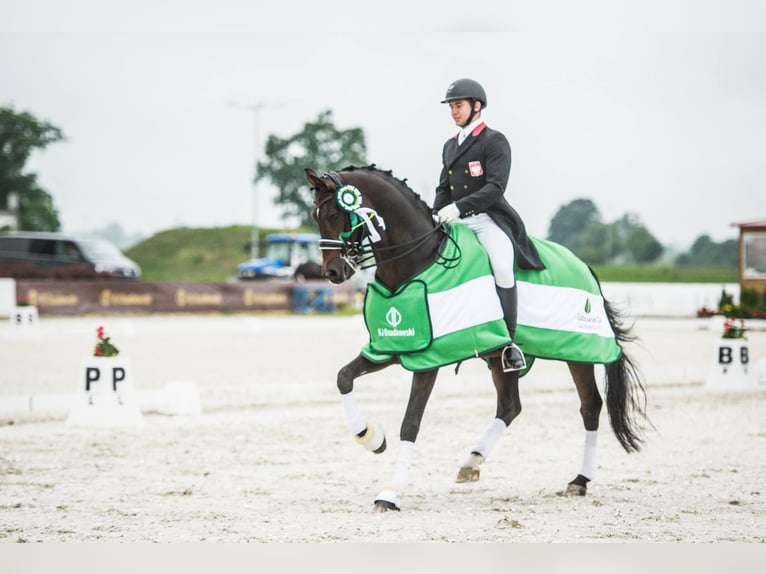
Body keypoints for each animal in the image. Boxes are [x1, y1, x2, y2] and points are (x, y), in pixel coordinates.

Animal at [306, 163, 648, 512]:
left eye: (334, 212)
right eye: (315, 214)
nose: (331, 273)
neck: (418, 261)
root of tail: (584, 266)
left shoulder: (428, 360)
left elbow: (410, 422)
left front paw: (390, 494)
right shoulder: (393, 348)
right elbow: (343, 377)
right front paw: (371, 438)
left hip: (578, 352)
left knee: (590, 406)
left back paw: (579, 480)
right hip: (500, 357)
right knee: (510, 406)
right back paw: (471, 462)